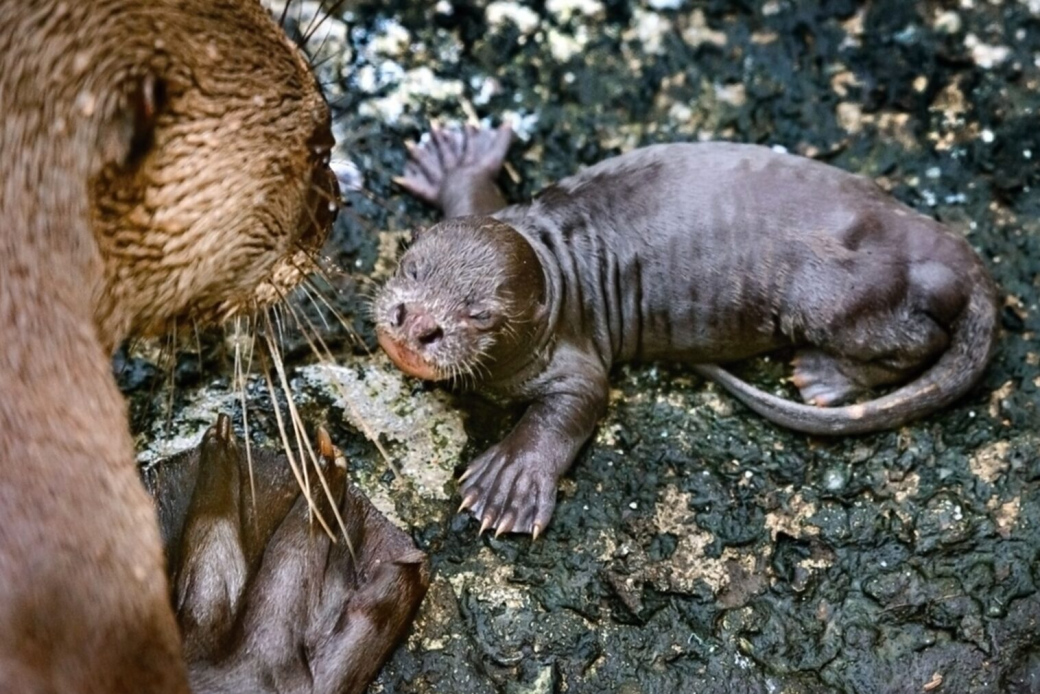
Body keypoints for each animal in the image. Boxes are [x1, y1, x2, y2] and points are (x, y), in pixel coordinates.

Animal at [374, 123, 998, 536]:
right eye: (411, 265)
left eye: (480, 313)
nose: (417, 324)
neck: (556, 268)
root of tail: (939, 243)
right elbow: (472, 199)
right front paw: (455, 161)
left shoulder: (569, 354)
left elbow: (582, 398)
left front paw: (510, 480)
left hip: (837, 293)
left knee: (919, 341)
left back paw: (825, 375)